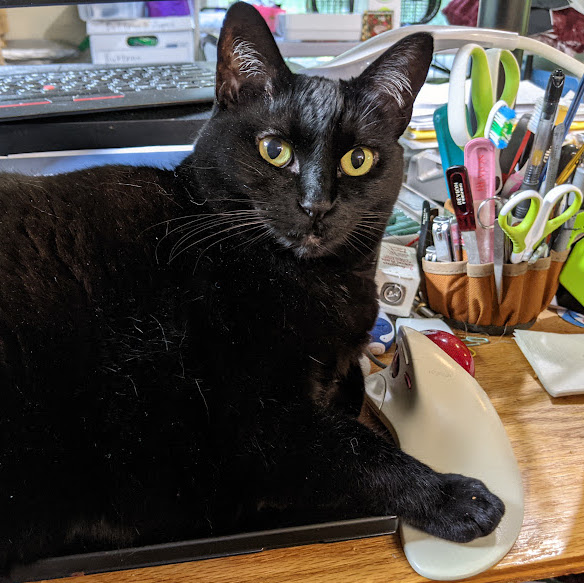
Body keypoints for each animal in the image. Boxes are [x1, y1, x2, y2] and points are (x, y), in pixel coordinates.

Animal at [0, 2, 502, 572]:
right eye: (274, 150)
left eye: (358, 160)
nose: (316, 204)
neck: (325, 283)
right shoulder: (261, 430)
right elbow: (360, 449)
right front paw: (457, 496)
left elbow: (353, 382)